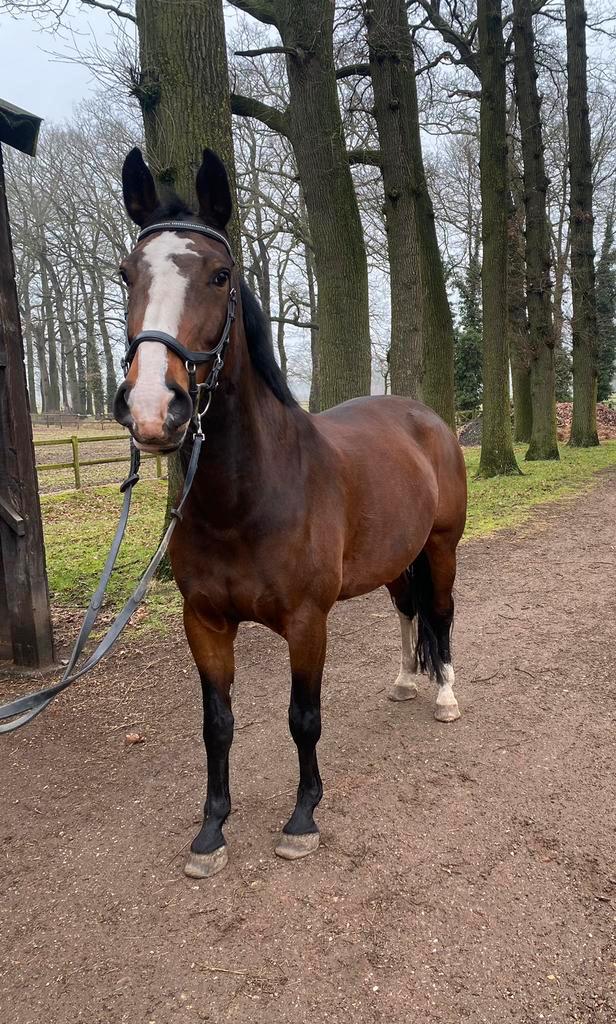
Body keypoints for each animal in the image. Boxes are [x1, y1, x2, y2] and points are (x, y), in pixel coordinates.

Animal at [114, 147, 467, 879]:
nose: (154, 410)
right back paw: (404, 682)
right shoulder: (205, 622)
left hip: (442, 547)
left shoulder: (308, 622)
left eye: (220, 276)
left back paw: (445, 696)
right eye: (125, 274)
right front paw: (212, 831)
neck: (246, 499)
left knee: (442, 614)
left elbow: (303, 716)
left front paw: (303, 818)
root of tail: (426, 419)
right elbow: (217, 724)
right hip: (397, 558)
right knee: (408, 611)